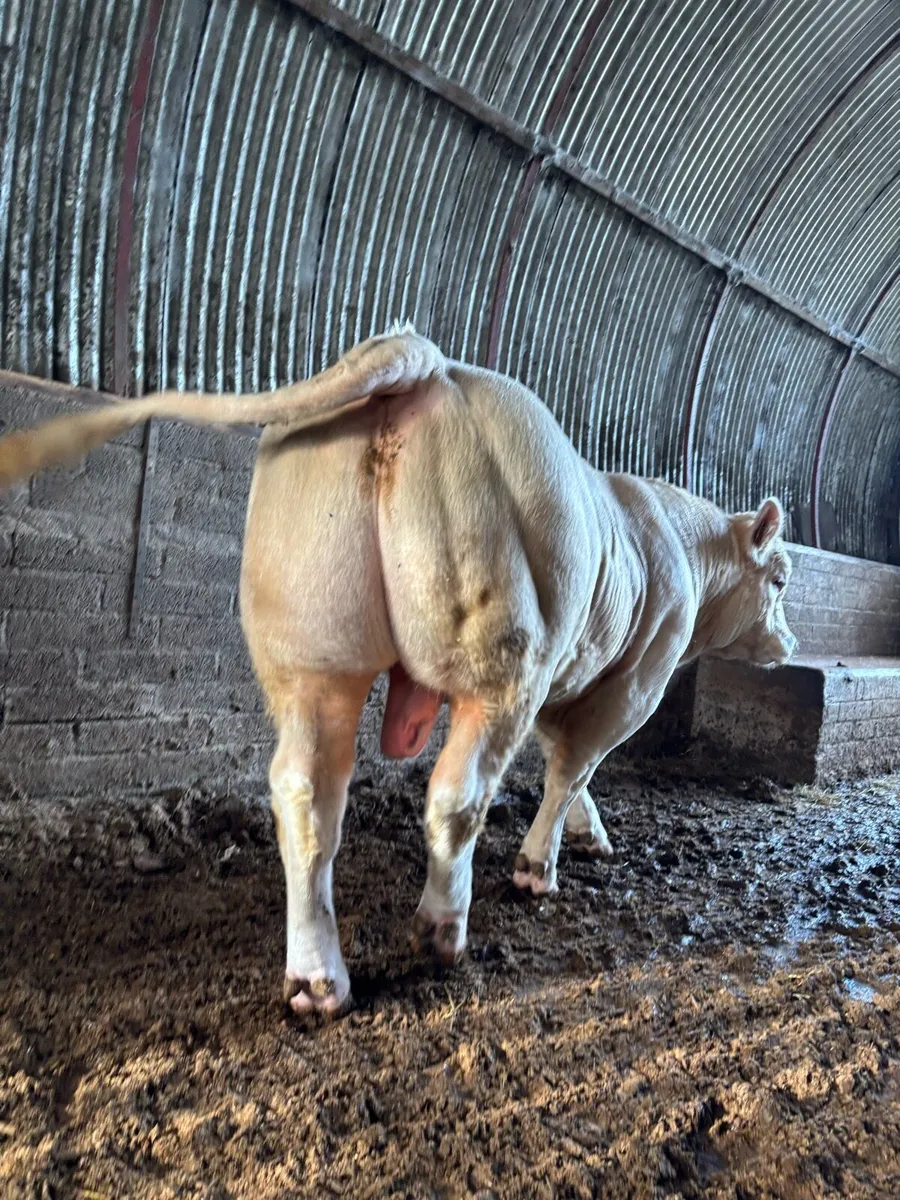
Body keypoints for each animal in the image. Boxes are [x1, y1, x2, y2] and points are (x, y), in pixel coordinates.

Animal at [0, 324, 797, 1015]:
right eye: (782, 578)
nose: (788, 644)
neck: (675, 543)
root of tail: (426, 362)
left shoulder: (568, 676)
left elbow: (565, 766)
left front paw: (588, 834)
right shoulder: (630, 684)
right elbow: (574, 767)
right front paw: (540, 867)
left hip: (312, 647)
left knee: (305, 795)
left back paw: (317, 980)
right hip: (501, 657)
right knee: (455, 795)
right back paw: (441, 931)